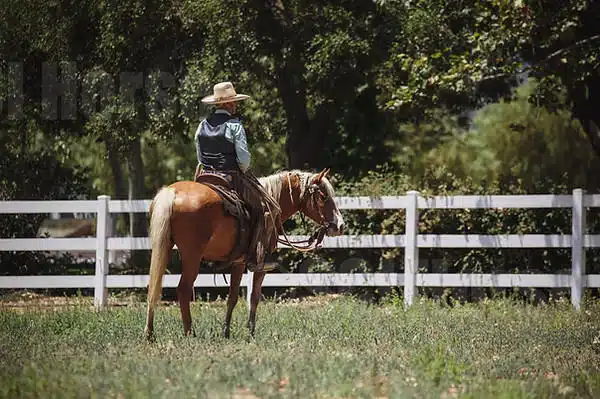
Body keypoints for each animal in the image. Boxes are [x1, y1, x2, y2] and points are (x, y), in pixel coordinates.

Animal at [142, 169, 344, 340]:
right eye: (323, 196)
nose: (340, 226)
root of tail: (173, 193)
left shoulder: (238, 262)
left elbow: (232, 297)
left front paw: (226, 332)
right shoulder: (260, 266)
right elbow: (254, 297)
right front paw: (251, 333)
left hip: (165, 246)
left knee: (154, 286)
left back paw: (150, 334)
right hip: (192, 256)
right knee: (183, 290)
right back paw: (190, 333)